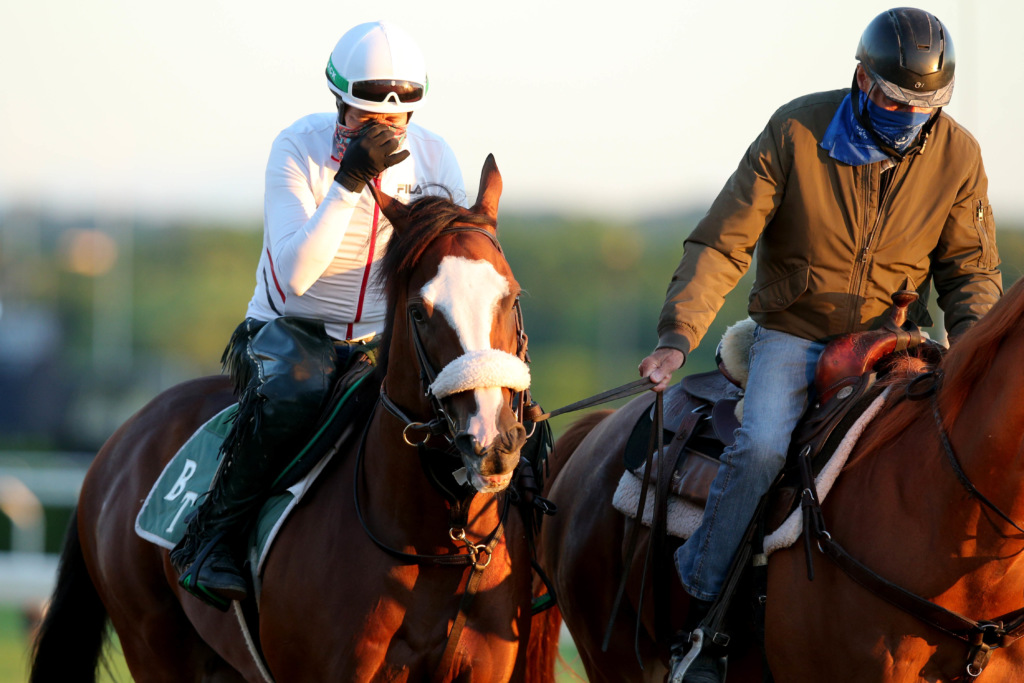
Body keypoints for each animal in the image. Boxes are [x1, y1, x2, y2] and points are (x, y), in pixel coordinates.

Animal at [32, 156, 561, 683]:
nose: (491, 443)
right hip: (154, 644)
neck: (438, 544)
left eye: (511, 297)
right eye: (419, 311)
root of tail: (120, 440)